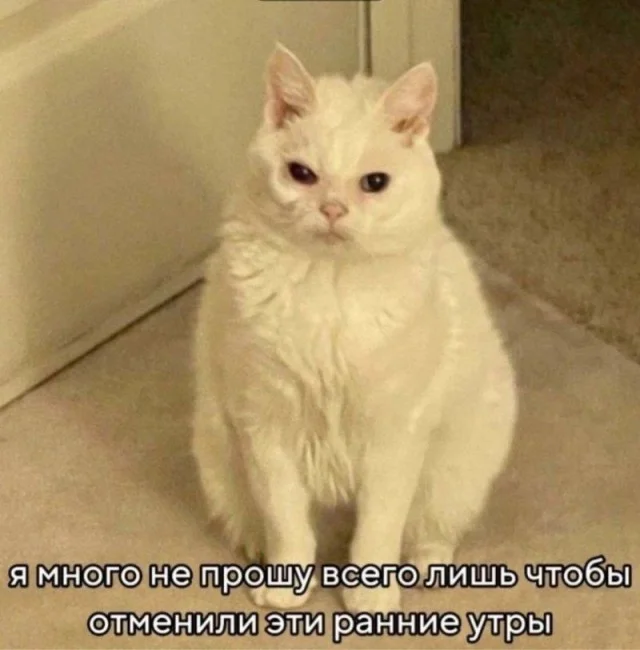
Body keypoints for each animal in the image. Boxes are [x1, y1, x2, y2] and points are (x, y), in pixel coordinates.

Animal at [192, 44, 517, 614]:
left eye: (375, 183)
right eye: (301, 173)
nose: (332, 209)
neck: (328, 287)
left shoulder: (396, 436)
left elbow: (377, 531)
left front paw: (369, 599)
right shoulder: (264, 427)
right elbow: (286, 523)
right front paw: (285, 590)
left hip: (458, 468)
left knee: (429, 533)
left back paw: (426, 565)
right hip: (216, 450)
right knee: (257, 522)